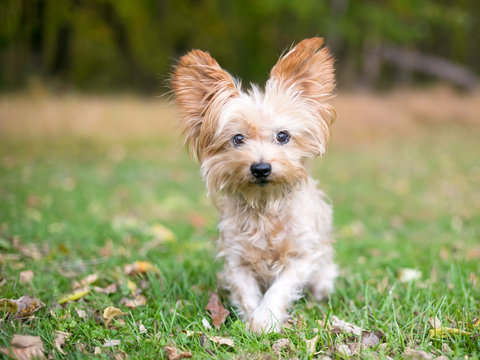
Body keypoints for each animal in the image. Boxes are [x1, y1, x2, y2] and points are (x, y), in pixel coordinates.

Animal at [172, 38, 338, 334]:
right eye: (238, 139)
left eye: (283, 136)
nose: (261, 168)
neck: (264, 204)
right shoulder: (236, 260)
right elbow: (246, 291)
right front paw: (252, 321)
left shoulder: (301, 257)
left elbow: (279, 289)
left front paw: (265, 320)